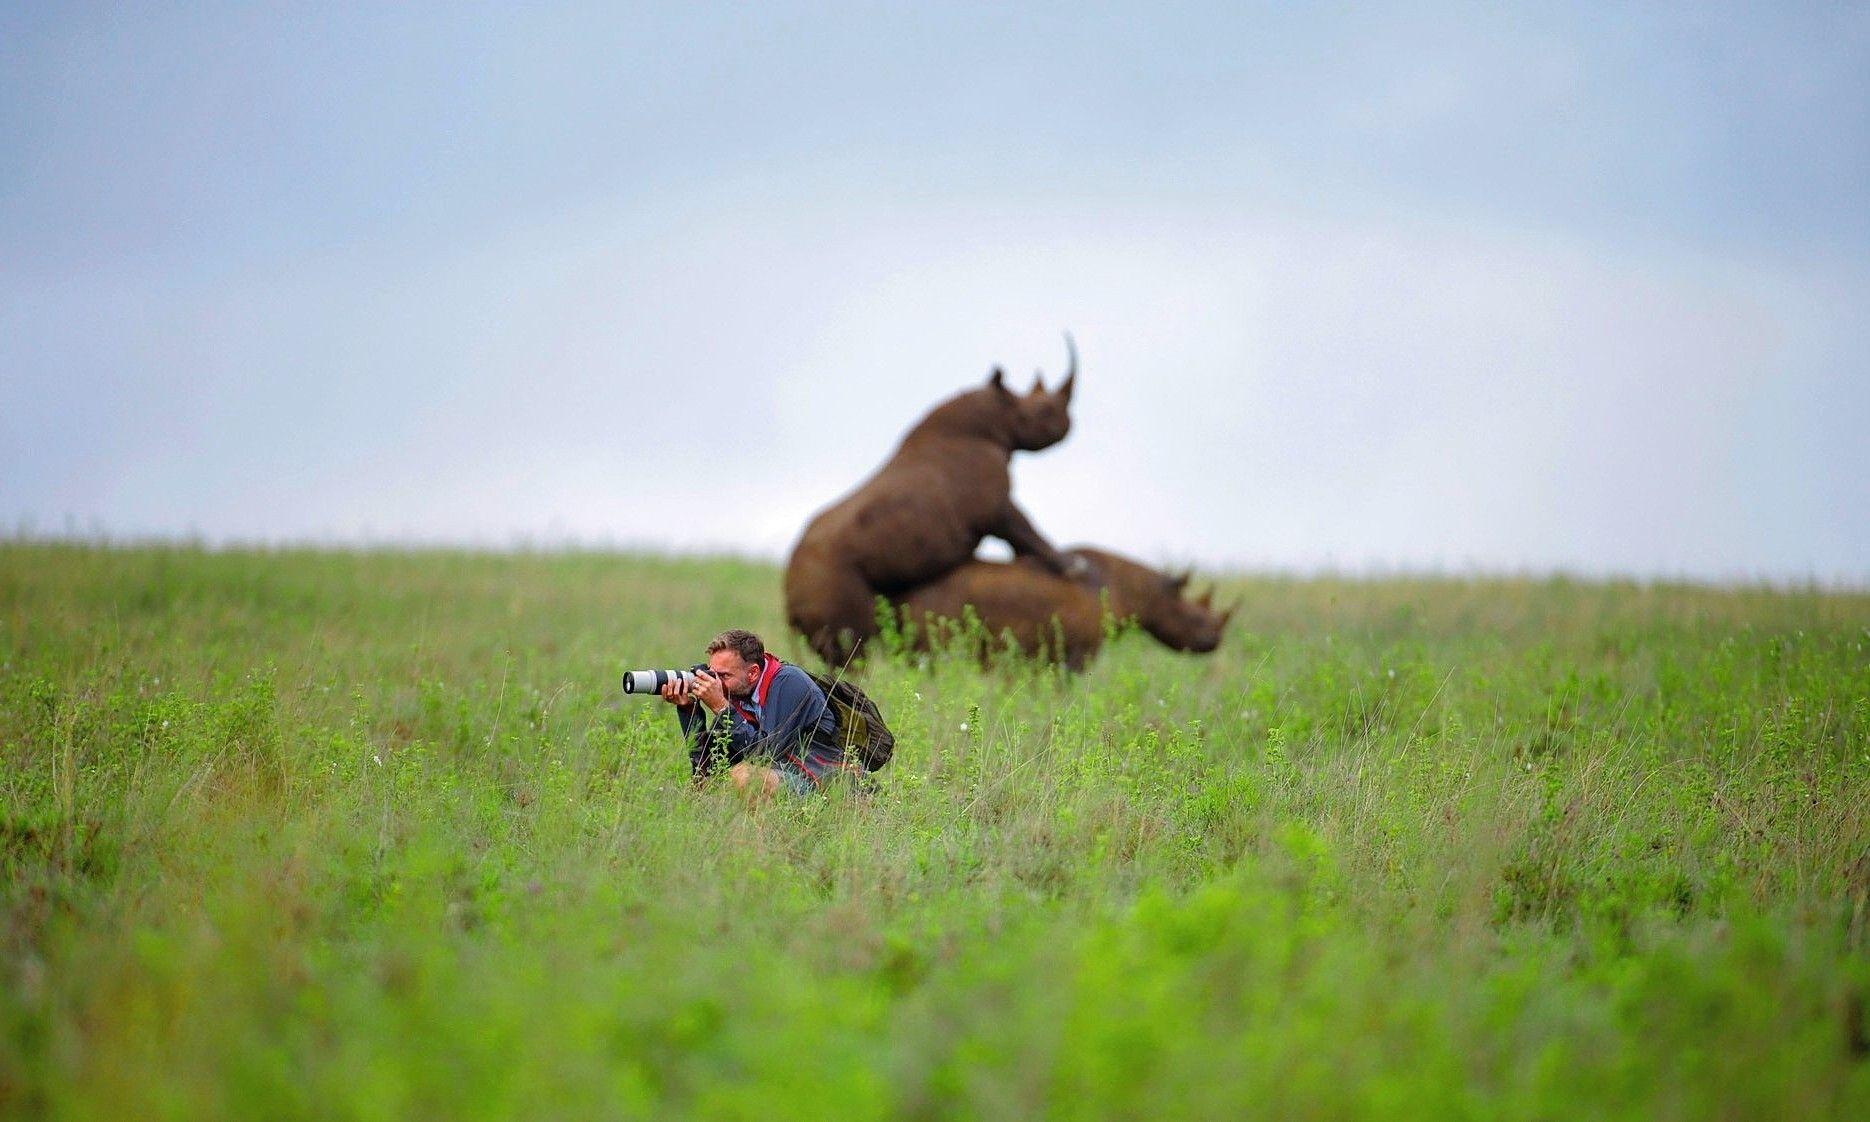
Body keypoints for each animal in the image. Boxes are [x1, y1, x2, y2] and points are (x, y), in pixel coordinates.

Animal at [785, 336, 1091, 666]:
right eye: (1044, 411)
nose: (1068, 424)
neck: (998, 416)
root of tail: (787, 595)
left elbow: (1021, 537)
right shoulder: (994, 503)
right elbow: (1024, 528)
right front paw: (1076, 567)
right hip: (829, 577)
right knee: (855, 644)